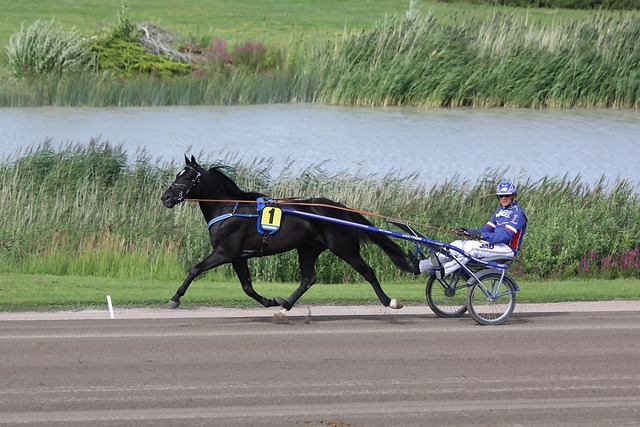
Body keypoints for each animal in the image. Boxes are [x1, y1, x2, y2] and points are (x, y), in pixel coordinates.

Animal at [161, 155, 417, 313]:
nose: (166, 197)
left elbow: (195, 269)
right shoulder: (238, 256)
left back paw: (389, 301)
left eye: (186, 177)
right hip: (308, 248)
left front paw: (174, 299)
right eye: (177, 175)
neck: (229, 208)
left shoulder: (224, 252)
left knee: (367, 271)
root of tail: (340, 208)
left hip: (344, 247)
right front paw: (270, 301)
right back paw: (285, 306)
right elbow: (247, 287)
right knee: (308, 278)